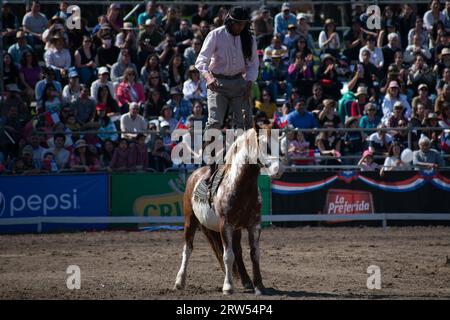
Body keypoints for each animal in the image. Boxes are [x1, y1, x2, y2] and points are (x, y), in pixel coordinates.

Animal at [174, 124, 284, 296]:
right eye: (265, 145)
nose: (279, 170)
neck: (241, 186)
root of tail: (195, 175)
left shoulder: (254, 225)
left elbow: (254, 254)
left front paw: (259, 286)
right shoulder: (225, 225)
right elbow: (227, 255)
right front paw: (228, 286)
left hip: (233, 230)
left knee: (237, 251)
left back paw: (246, 282)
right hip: (190, 221)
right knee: (188, 249)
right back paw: (180, 281)